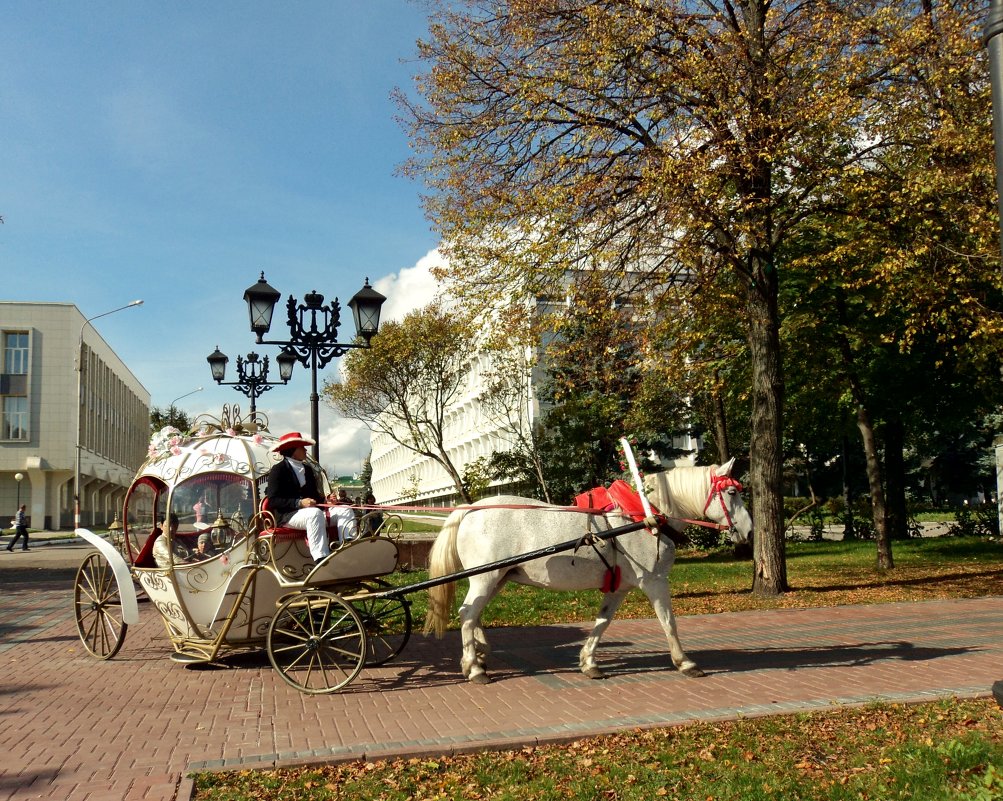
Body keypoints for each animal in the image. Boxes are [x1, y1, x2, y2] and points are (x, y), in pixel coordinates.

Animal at [423, 457, 754, 681]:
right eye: (732, 493)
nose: (749, 532)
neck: (642, 517)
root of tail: (469, 510)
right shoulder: (655, 581)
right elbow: (668, 622)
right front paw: (685, 662)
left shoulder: (619, 587)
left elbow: (602, 622)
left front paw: (589, 661)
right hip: (485, 577)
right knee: (468, 614)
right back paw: (474, 666)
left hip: (498, 577)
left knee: (474, 614)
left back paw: (480, 653)